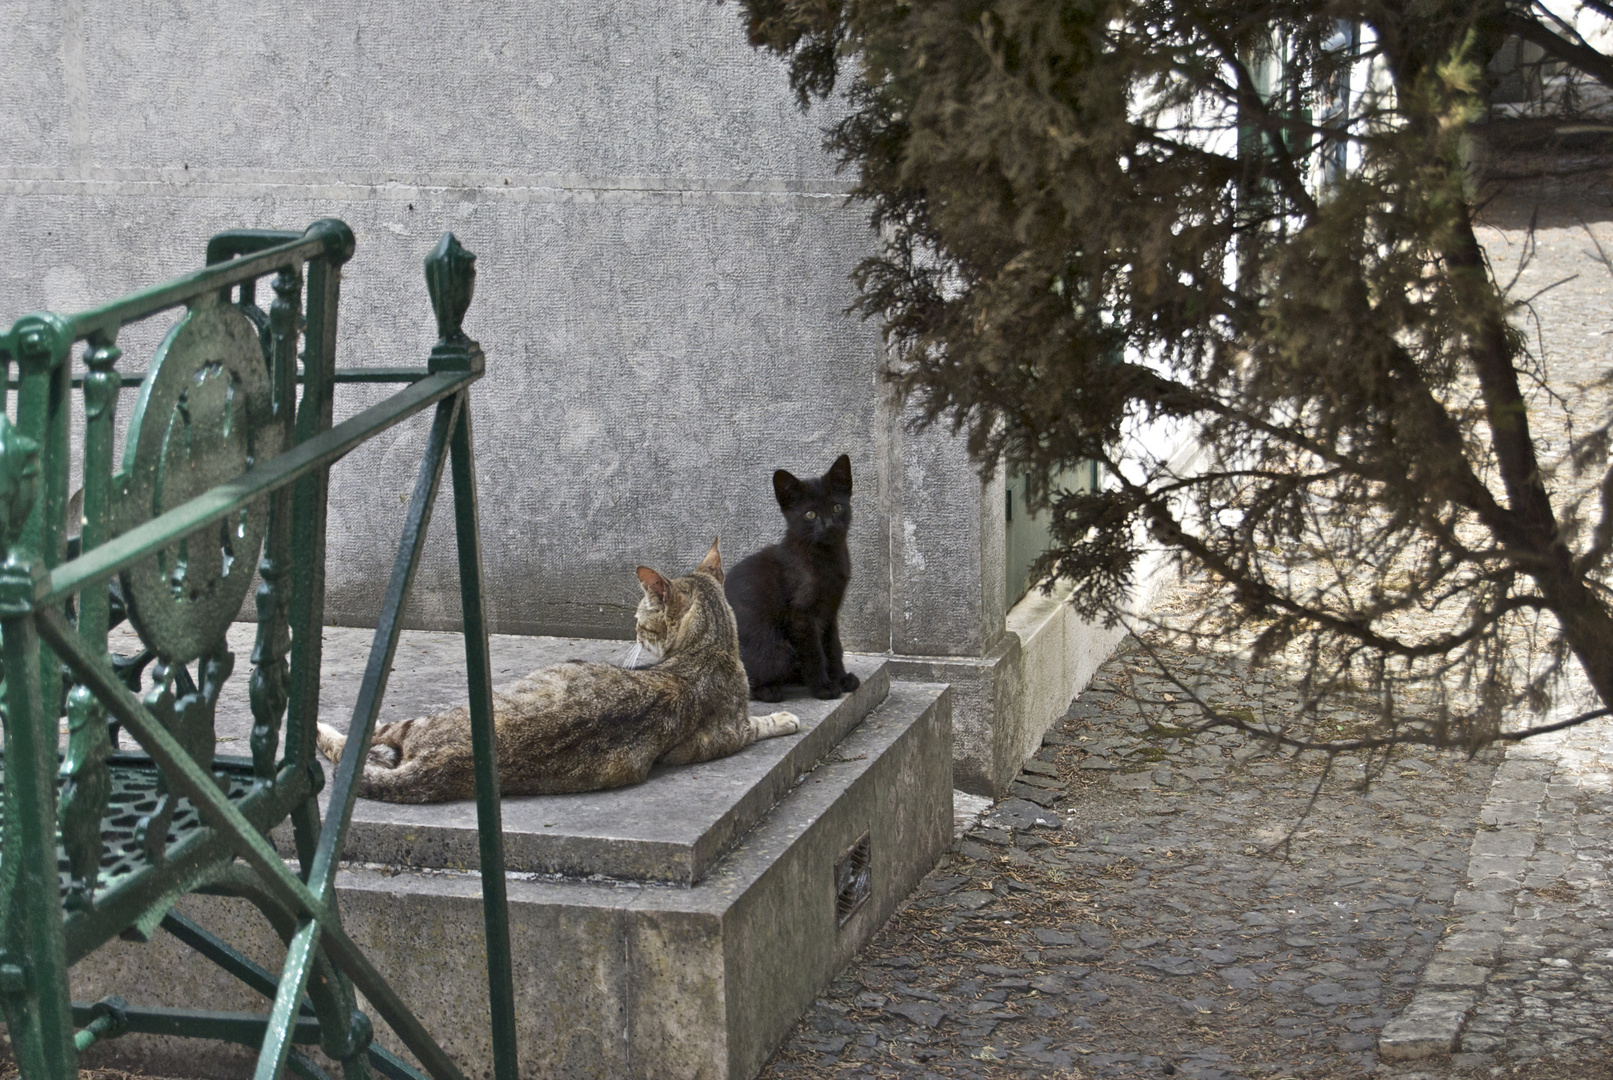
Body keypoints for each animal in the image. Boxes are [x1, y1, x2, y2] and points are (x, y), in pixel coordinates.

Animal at [312, 541, 793, 802]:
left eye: (638, 622)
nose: (633, 636)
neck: (711, 647)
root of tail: (440, 761)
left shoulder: (730, 733)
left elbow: (759, 723)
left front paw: (783, 717)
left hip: (417, 721)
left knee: (347, 746)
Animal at [725, 454, 864, 702]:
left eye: (837, 507)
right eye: (810, 514)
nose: (829, 525)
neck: (826, 558)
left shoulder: (830, 612)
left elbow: (833, 647)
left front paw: (840, 678)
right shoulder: (801, 615)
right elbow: (814, 652)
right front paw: (824, 687)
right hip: (777, 648)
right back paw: (770, 691)